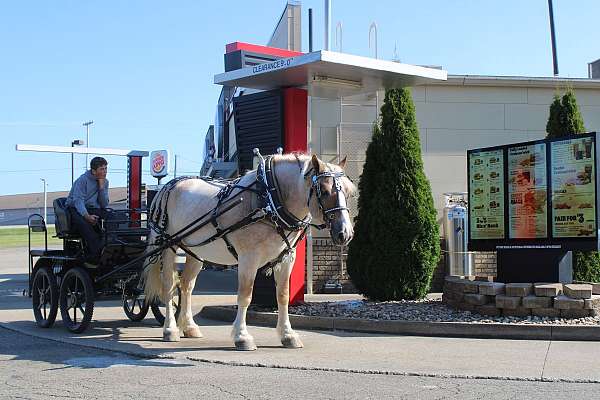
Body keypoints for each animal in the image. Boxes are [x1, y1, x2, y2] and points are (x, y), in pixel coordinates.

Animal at [142, 152, 354, 350]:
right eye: (324, 191)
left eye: (349, 192)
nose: (345, 233)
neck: (268, 200)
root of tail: (166, 188)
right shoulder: (248, 258)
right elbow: (245, 296)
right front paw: (242, 336)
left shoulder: (287, 258)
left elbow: (283, 295)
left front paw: (288, 335)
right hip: (168, 246)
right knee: (169, 286)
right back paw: (170, 329)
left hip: (196, 252)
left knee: (186, 286)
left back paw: (190, 327)